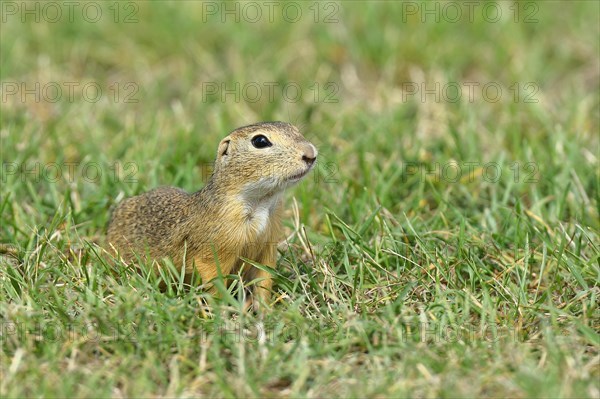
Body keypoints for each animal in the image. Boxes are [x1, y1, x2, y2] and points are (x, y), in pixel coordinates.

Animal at [106, 122, 318, 310]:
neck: (261, 203)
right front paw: (222, 312)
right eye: (260, 141)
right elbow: (215, 281)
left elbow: (264, 280)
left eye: (295, 129)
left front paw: (265, 311)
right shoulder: (215, 249)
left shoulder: (268, 246)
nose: (311, 154)